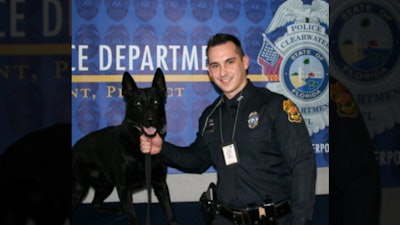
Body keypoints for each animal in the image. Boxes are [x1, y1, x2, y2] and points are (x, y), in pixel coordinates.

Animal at [71, 68, 177, 225]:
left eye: (156, 102)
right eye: (138, 104)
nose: (150, 120)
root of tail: (74, 147)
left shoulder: (160, 184)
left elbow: (170, 214)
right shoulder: (124, 189)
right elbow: (132, 218)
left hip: (106, 185)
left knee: (94, 204)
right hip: (80, 187)